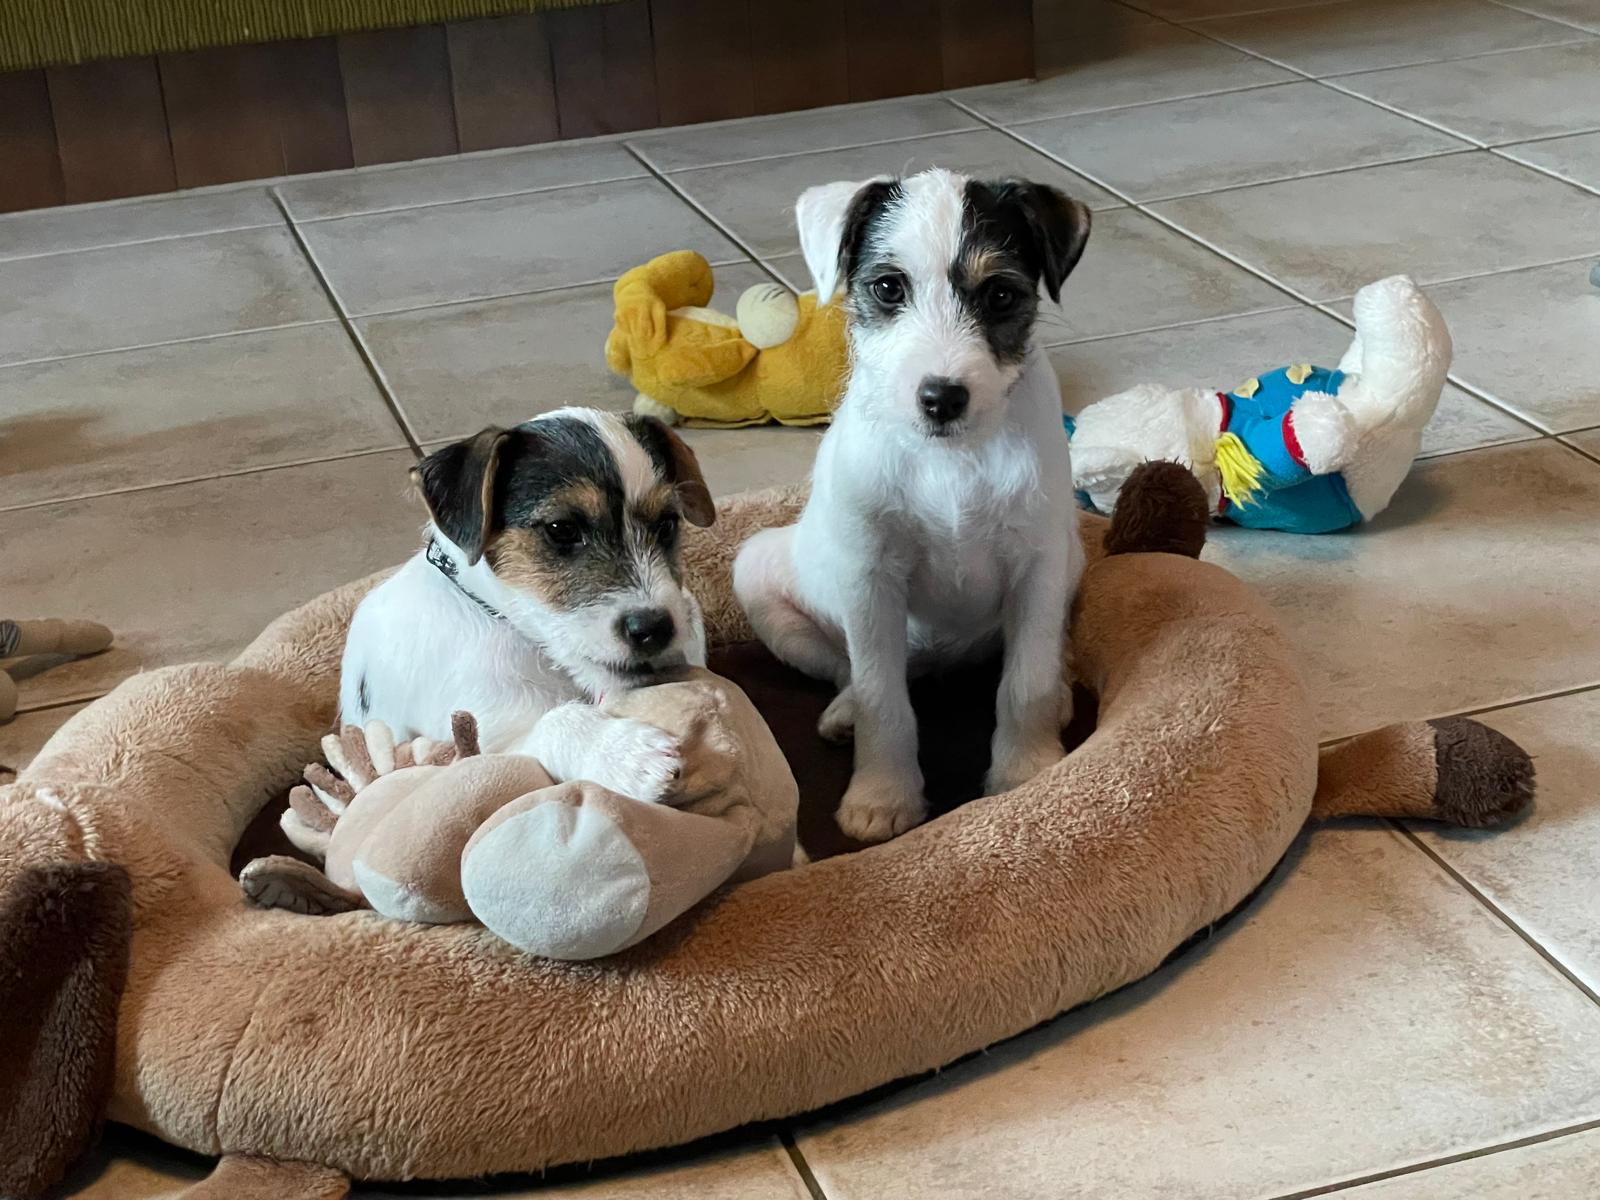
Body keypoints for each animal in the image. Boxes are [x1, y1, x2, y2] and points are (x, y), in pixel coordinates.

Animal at [337, 407, 716, 804]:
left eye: (667, 524)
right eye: (561, 529)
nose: (655, 628)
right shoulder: (479, 743)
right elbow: (553, 722)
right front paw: (626, 755)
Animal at [733, 169, 1092, 842]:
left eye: (1000, 296)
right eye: (887, 288)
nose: (942, 397)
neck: (951, 460)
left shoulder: (1038, 564)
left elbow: (1025, 678)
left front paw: (1027, 773)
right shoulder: (870, 580)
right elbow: (883, 699)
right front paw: (882, 796)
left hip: (1072, 558)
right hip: (758, 572)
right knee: (849, 670)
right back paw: (845, 710)